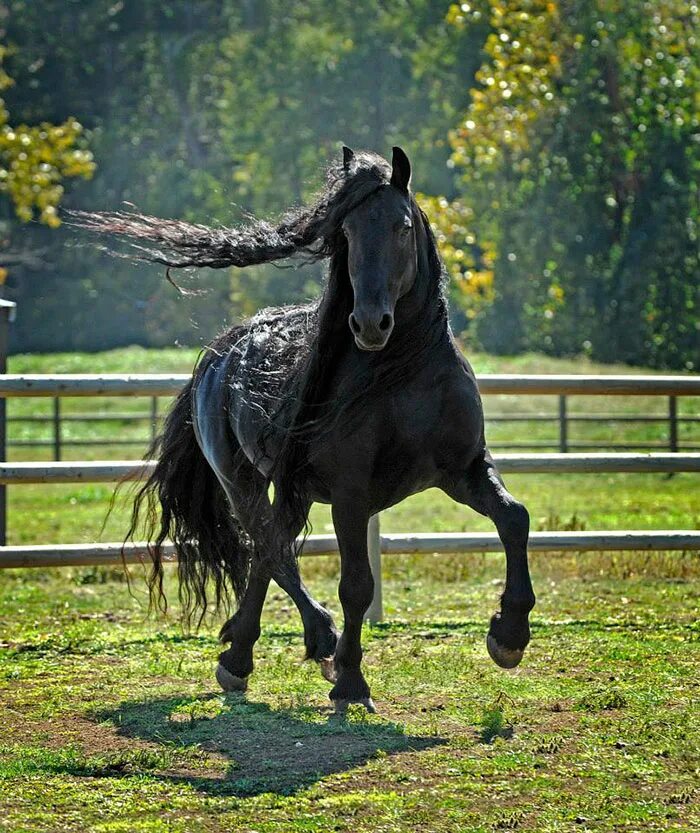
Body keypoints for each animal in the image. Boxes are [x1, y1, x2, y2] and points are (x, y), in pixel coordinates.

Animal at [74, 148, 536, 708]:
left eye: (402, 227)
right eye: (346, 233)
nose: (370, 323)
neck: (403, 376)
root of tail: (221, 353)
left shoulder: (464, 470)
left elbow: (514, 518)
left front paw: (508, 636)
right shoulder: (351, 495)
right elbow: (356, 585)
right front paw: (352, 681)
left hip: (292, 490)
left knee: (267, 553)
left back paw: (247, 652)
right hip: (243, 482)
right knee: (270, 550)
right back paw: (297, 645)